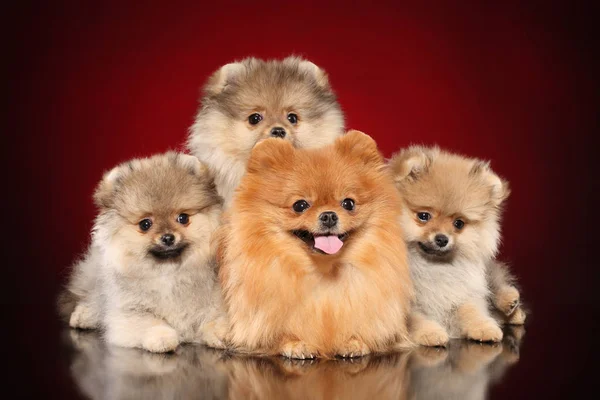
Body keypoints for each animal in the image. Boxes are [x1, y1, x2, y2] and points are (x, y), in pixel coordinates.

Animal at [218, 130, 414, 360]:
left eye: (348, 203)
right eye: (300, 205)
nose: (328, 215)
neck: (324, 271)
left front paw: (353, 342)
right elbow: (279, 334)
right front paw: (295, 344)